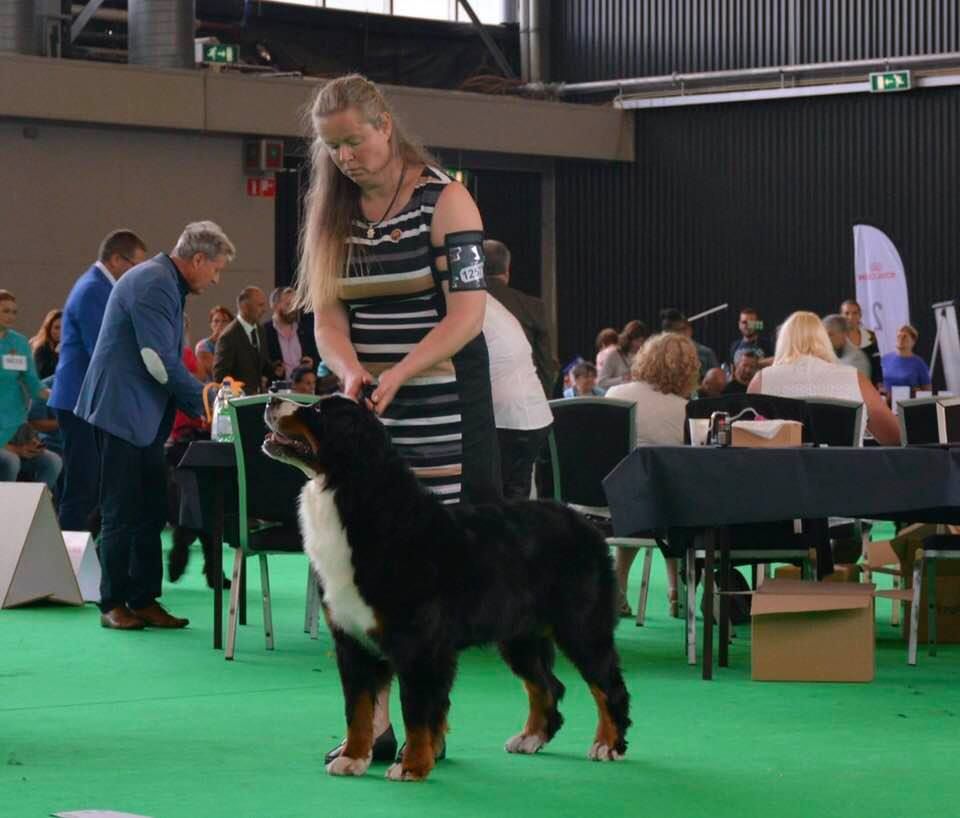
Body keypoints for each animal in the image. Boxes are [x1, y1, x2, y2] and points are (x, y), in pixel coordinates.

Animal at [262, 396, 632, 784]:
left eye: (318, 411)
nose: (272, 395)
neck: (355, 503)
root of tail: (586, 524)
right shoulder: (352, 640)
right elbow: (358, 709)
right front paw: (353, 758)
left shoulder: (419, 643)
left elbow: (417, 710)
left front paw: (412, 765)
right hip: (519, 636)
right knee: (546, 685)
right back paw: (530, 737)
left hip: (581, 628)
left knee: (608, 685)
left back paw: (608, 744)